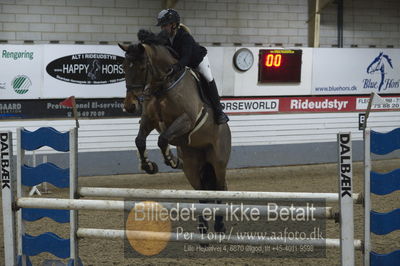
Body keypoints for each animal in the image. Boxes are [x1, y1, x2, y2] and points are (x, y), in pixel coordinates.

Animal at [118, 40, 231, 234]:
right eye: (124, 67)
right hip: (192, 168)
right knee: (203, 195)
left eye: (142, 68)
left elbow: (163, 139)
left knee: (220, 189)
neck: (162, 86)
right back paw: (203, 229)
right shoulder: (149, 120)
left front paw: (170, 159)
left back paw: (219, 224)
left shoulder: (186, 120)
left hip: (218, 162)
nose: (130, 106)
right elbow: (140, 140)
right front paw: (148, 165)